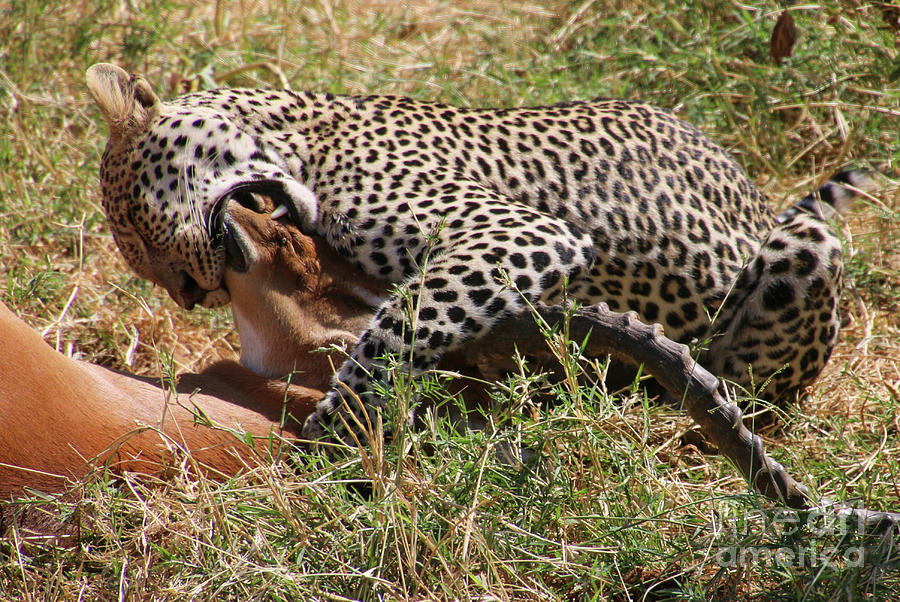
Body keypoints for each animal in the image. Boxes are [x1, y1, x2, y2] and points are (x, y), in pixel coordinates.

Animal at [84, 63, 872, 442]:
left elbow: (395, 331)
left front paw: (338, 424)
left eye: (139, 230)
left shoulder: (515, 234)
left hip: (807, 250)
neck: (294, 132)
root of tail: (766, 203)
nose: (194, 294)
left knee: (760, 400)